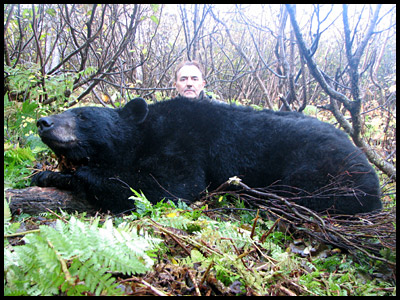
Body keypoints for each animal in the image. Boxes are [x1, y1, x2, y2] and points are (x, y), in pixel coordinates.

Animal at [31, 96, 382, 213]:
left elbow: (170, 185)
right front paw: (47, 173)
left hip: (323, 169)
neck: (146, 133)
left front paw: (76, 174)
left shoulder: (183, 142)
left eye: (82, 116)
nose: (43, 121)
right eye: (68, 109)